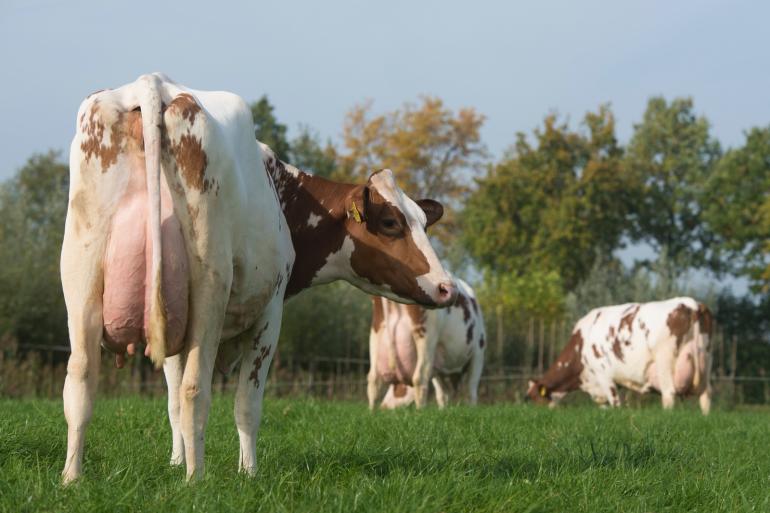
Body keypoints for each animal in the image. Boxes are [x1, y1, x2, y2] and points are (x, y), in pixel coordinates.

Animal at [61, 73, 456, 483]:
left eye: (424, 222)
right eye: (391, 222)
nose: (448, 288)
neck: (284, 190)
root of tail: (153, 82)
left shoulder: (173, 326)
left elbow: (171, 402)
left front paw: (176, 461)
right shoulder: (270, 314)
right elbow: (245, 405)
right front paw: (247, 473)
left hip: (81, 275)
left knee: (81, 381)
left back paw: (73, 477)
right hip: (209, 286)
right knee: (194, 390)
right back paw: (195, 479)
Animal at [367, 278, 485, 409]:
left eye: (396, 387)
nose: (384, 406)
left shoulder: (439, 366)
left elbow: (443, 394)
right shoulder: (478, 352)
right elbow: (470, 390)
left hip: (376, 333)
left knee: (373, 379)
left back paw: (371, 411)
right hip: (426, 336)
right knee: (420, 377)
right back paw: (420, 411)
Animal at [526, 297, 713, 415]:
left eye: (535, 398)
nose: (536, 412)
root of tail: (691, 304)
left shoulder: (604, 376)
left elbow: (616, 405)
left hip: (665, 361)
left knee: (669, 394)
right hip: (705, 358)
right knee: (706, 397)